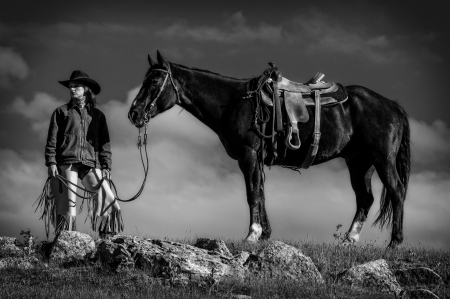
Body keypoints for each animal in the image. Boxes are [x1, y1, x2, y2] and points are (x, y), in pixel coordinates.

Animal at [127, 51, 412, 248]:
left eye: (155, 81)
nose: (134, 113)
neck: (233, 103)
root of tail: (393, 106)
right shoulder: (255, 159)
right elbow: (261, 193)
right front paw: (265, 235)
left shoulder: (248, 154)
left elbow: (252, 193)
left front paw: (252, 235)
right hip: (359, 163)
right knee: (365, 199)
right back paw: (349, 240)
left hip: (382, 159)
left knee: (396, 191)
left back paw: (395, 242)